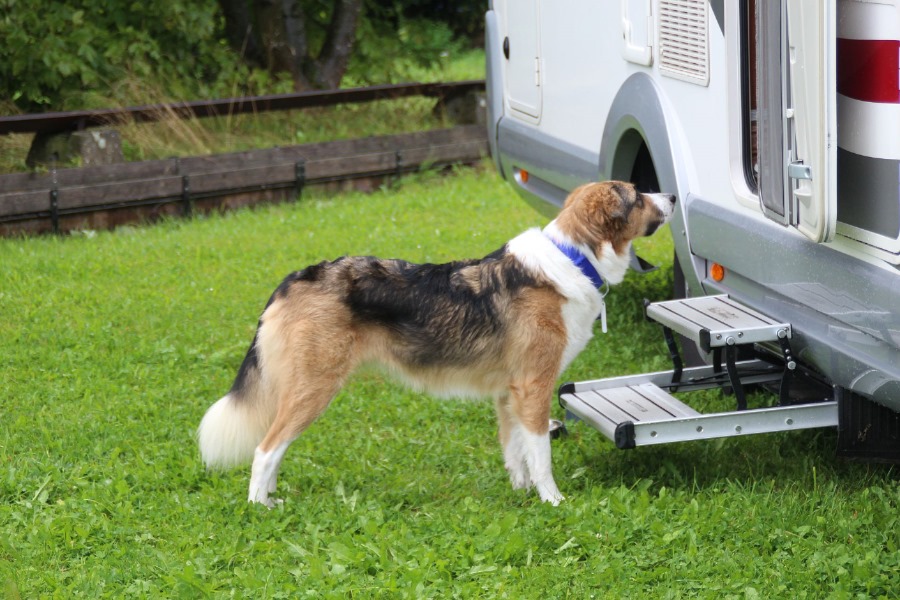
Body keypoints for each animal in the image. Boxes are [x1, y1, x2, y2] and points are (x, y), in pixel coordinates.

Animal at [198, 181, 675, 506]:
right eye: (637, 195)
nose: (671, 195)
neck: (572, 259)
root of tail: (297, 277)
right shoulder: (533, 388)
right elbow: (540, 454)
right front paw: (552, 501)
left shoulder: (509, 394)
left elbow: (515, 451)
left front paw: (521, 494)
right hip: (314, 388)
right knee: (265, 449)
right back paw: (259, 507)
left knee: (274, 450)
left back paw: (271, 498)